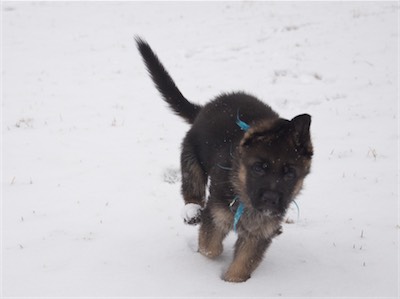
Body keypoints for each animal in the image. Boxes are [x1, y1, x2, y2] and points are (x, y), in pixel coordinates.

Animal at [136, 38, 314, 284]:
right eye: (258, 168)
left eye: (290, 174)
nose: (270, 201)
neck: (244, 195)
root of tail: (205, 107)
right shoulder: (216, 216)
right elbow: (210, 248)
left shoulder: (257, 235)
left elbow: (243, 263)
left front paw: (232, 282)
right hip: (191, 159)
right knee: (192, 189)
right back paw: (192, 211)